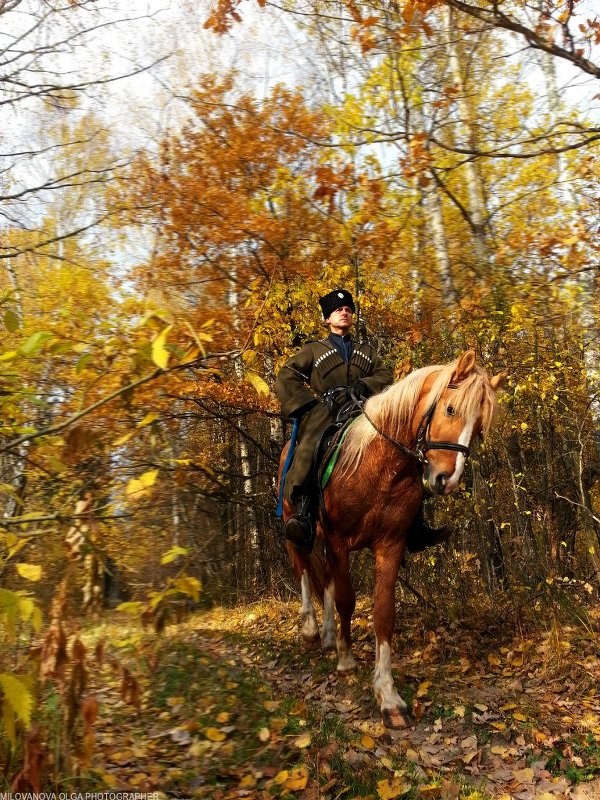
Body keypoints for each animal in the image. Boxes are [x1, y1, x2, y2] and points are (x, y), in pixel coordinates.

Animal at [278, 346, 504, 728]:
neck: (381, 466)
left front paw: (388, 694)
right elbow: (347, 600)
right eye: (450, 409)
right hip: (296, 528)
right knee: (305, 570)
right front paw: (347, 660)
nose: (447, 479)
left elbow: (383, 612)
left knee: (324, 580)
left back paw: (327, 635)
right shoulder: (338, 541)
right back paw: (310, 629)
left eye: (479, 429)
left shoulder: (390, 545)